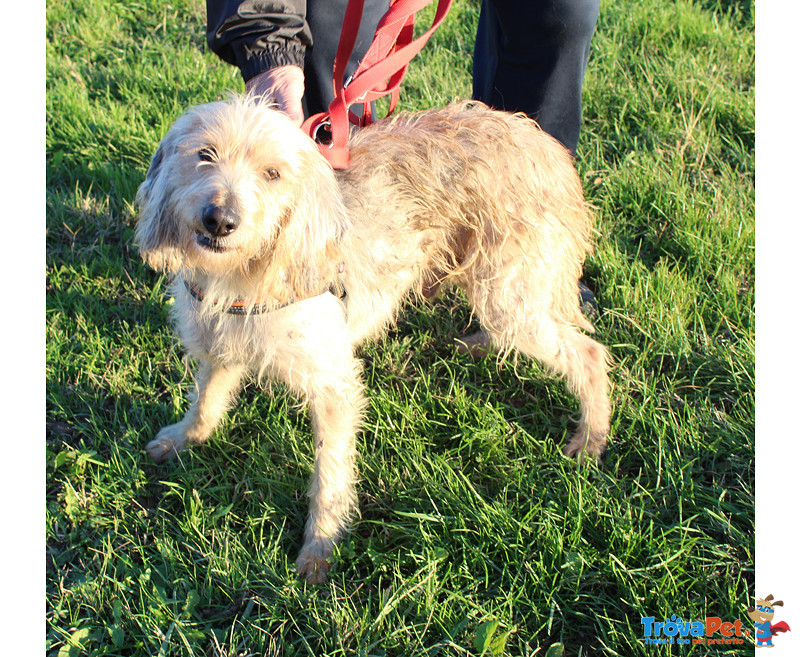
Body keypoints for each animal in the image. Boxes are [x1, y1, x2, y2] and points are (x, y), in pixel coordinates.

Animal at [136, 95, 612, 580]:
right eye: (205, 154)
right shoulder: (220, 348)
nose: (220, 220)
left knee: (590, 354)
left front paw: (320, 546)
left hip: (509, 293)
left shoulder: (334, 386)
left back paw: (591, 437)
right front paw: (182, 439)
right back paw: (478, 347)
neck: (243, 274)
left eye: (272, 173)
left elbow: (330, 473)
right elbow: (205, 402)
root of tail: (547, 149)